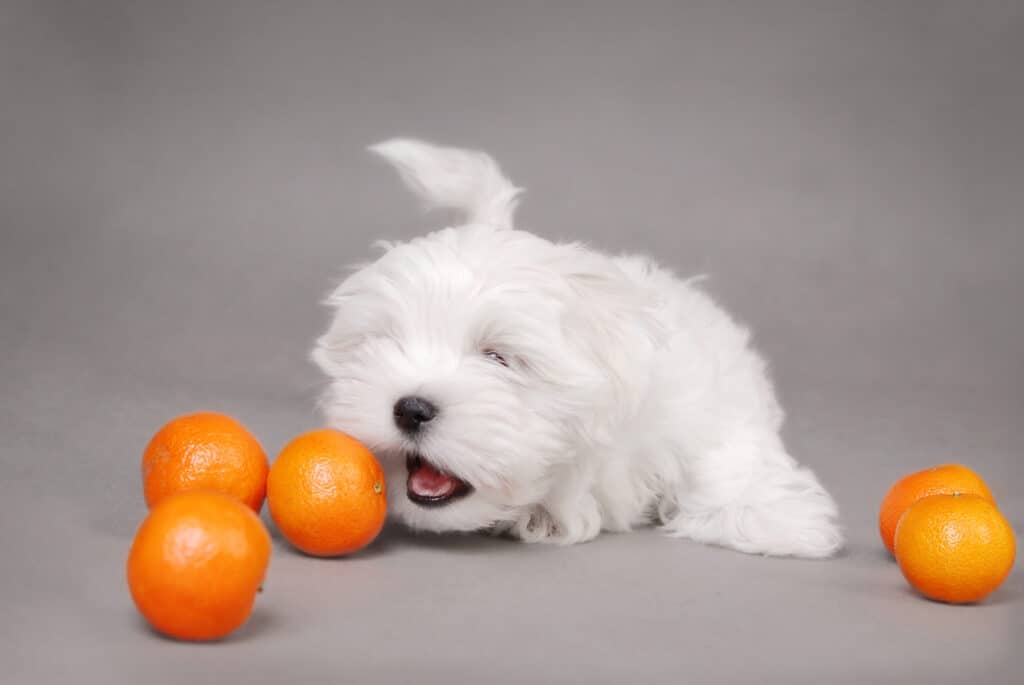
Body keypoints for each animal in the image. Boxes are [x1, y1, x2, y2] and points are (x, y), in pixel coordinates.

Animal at [311, 137, 839, 557]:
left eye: (498, 358)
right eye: (385, 344)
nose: (411, 408)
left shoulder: (700, 400)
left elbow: (721, 453)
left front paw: (775, 517)